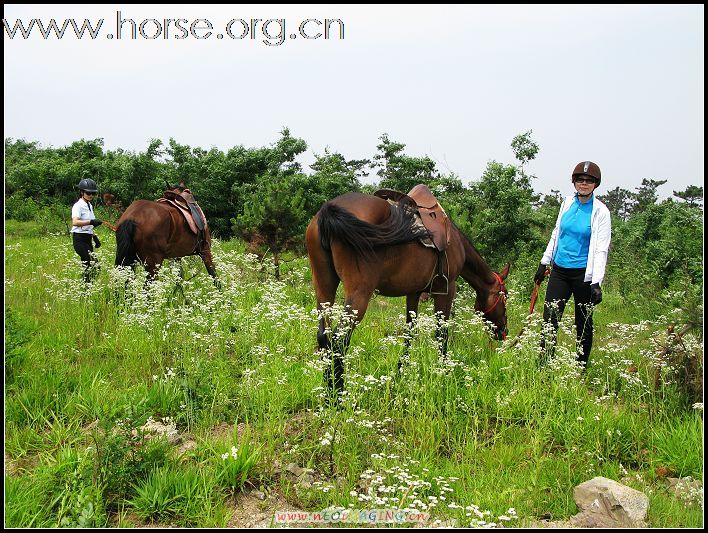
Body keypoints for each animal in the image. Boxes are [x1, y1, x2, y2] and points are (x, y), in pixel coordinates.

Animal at [304, 190, 508, 390]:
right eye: (504, 297)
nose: (503, 332)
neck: (455, 241)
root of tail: (328, 211)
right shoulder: (447, 289)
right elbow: (441, 333)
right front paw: (444, 373)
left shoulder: (413, 292)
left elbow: (409, 331)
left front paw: (401, 371)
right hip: (359, 294)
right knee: (339, 341)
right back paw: (338, 393)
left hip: (324, 287)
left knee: (324, 337)